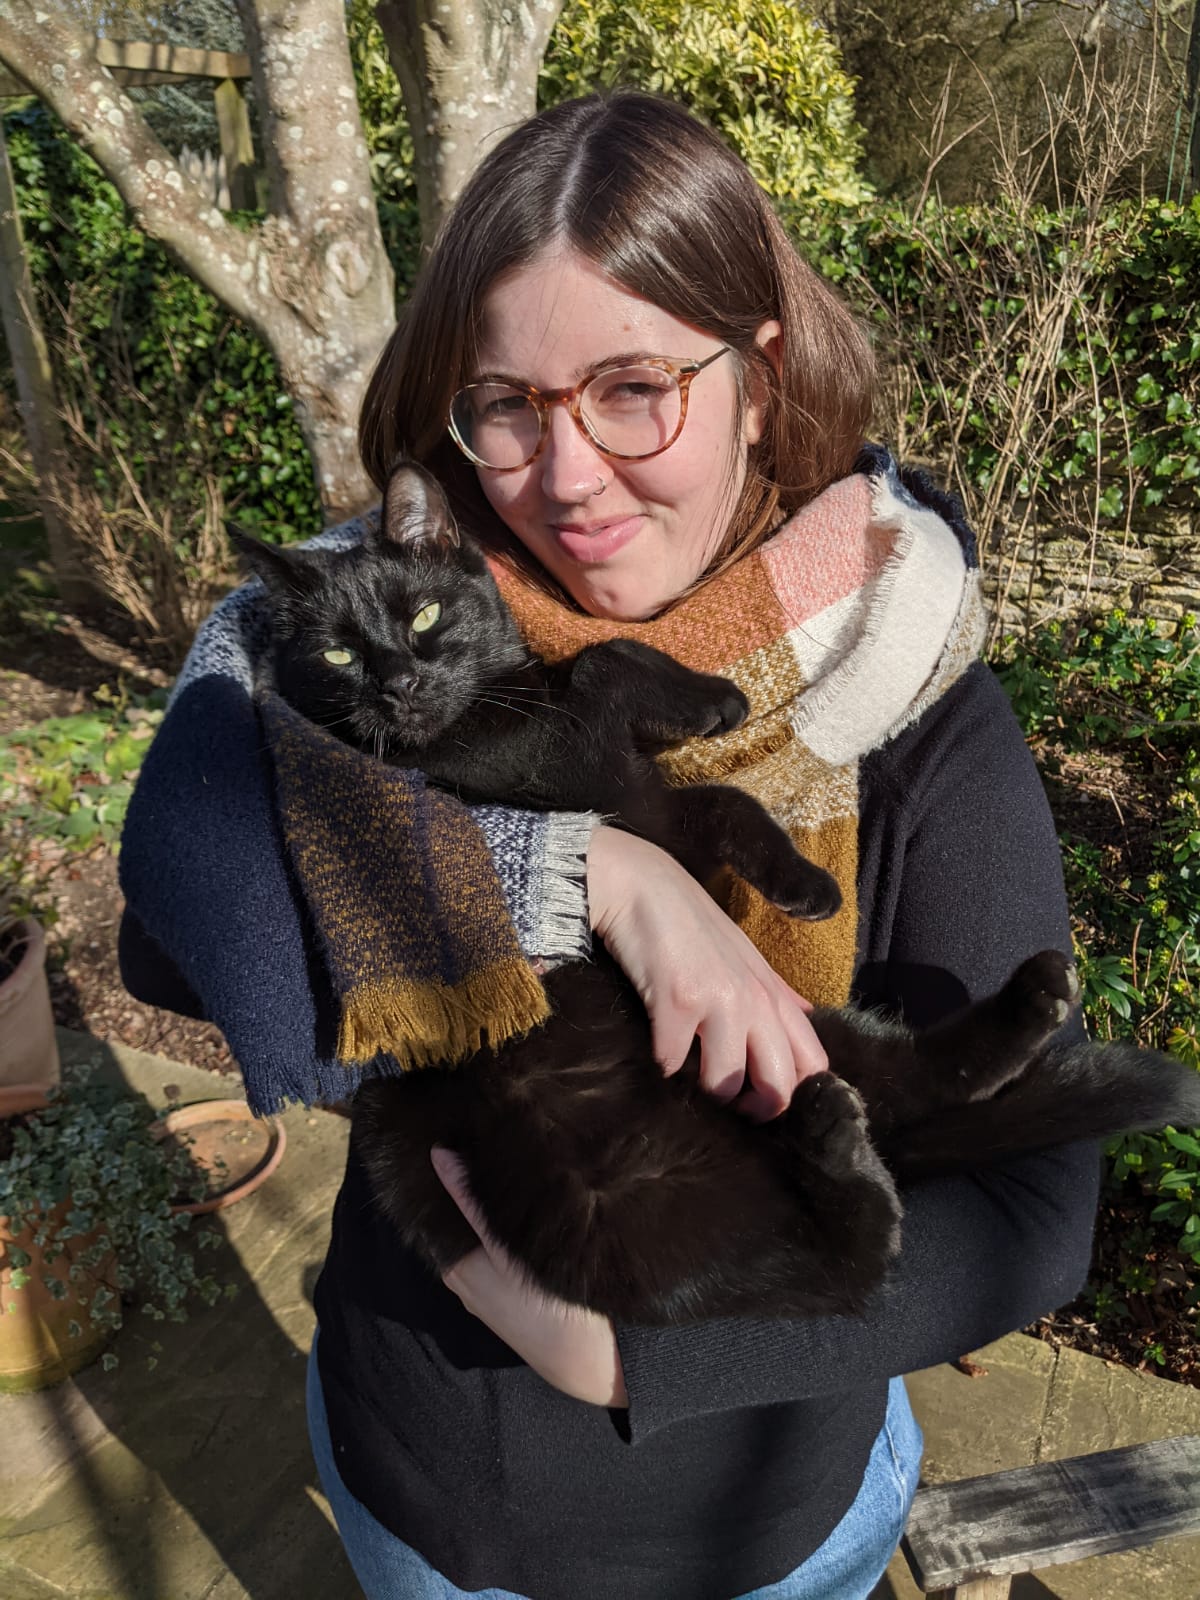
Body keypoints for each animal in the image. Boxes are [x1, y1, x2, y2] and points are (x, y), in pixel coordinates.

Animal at [235, 460, 1200, 1324]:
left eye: (425, 615)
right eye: (337, 652)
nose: (397, 685)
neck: (498, 726)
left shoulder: (648, 815)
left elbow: (692, 760)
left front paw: (788, 850)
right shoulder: (586, 799)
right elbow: (601, 664)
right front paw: (716, 714)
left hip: (798, 1040)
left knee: (916, 1083)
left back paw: (1021, 1008)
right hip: (618, 1220)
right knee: (838, 1269)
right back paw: (834, 1140)